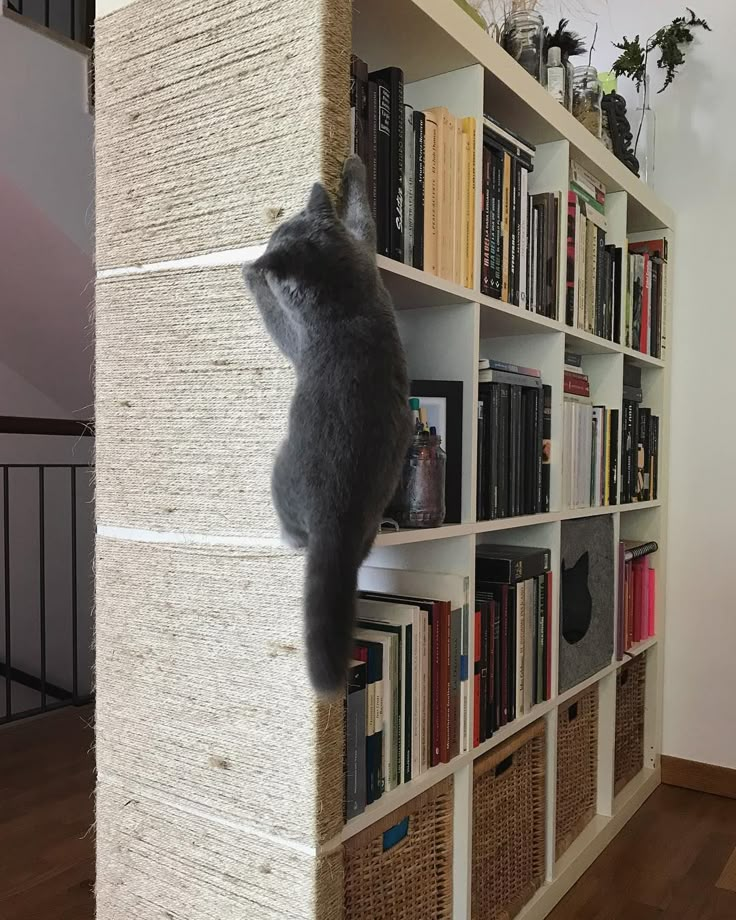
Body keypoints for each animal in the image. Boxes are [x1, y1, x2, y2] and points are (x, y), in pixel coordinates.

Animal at [246, 155, 414, 692]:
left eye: (275, 236)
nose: (263, 248)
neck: (345, 284)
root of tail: (332, 513)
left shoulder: (294, 336)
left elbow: (274, 316)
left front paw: (249, 271)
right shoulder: (364, 244)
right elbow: (364, 212)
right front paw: (353, 165)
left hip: (278, 469)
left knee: (293, 531)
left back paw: (286, 538)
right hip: (371, 519)